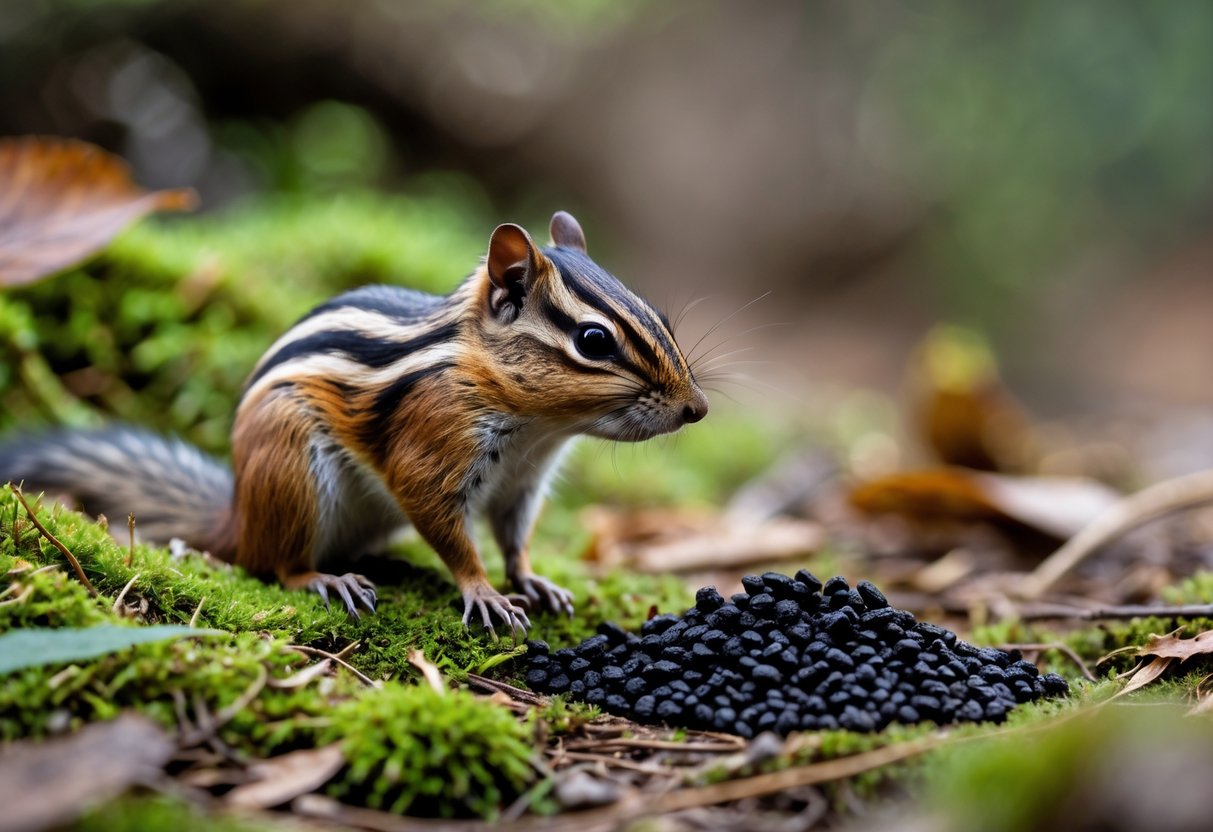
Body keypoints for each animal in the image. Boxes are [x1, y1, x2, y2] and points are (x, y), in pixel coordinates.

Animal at [0, 211, 708, 635]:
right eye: (593, 340)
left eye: (659, 316)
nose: (697, 409)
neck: (538, 429)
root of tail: (239, 514)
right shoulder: (432, 451)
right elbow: (452, 534)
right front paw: (482, 592)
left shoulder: (523, 484)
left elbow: (513, 538)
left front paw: (533, 580)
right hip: (294, 477)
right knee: (276, 566)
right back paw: (325, 578)